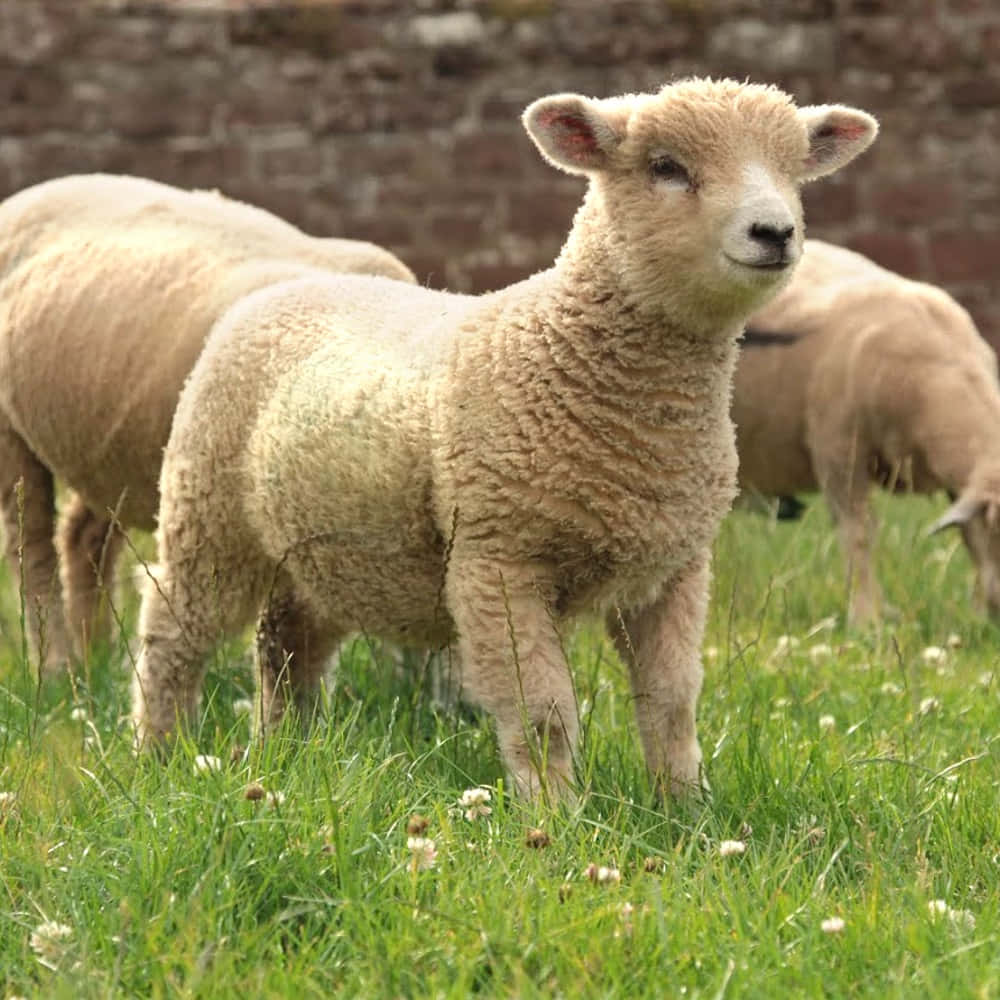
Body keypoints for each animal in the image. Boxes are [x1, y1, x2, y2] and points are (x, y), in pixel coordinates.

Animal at [0, 172, 416, 672]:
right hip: (10, 432)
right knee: (30, 547)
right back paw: (58, 666)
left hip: (106, 447)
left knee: (83, 536)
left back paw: (95, 654)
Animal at [131, 76, 876, 796]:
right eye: (666, 167)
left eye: (793, 170)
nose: (775, 232)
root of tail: (290, 287)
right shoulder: (500, 560)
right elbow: (543, 713)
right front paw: (555, 817)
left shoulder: (675, 568)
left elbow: (672, 704)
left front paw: (686, 810)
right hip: (209, 510)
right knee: (173, 633)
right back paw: (160, 754)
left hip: (323, 548)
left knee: (287, 646)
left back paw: (284, 749)